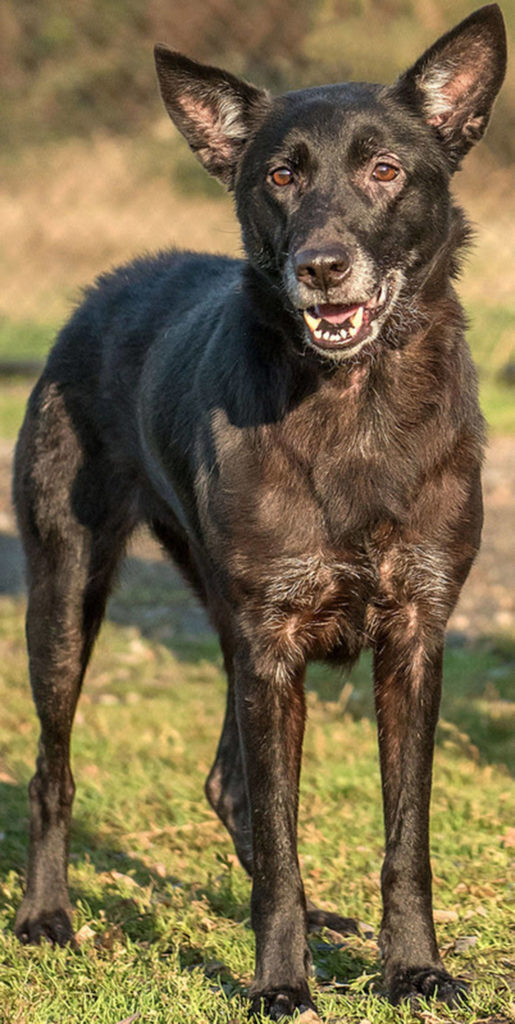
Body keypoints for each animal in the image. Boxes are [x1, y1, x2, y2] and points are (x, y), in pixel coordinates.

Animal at [13, 6, 507, 1015]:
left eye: (384, 170)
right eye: (281, 176)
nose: (322, 267)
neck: (354, 406)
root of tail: (100, 290)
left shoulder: (411, 637)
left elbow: (405, 840)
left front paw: (413, 968)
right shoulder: (271, 641)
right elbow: (281, 841)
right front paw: (281, 984)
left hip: (222, 623)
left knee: (226, 783)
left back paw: (319, 920)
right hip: (67, 594)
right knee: (52, 771)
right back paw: (46, 915)